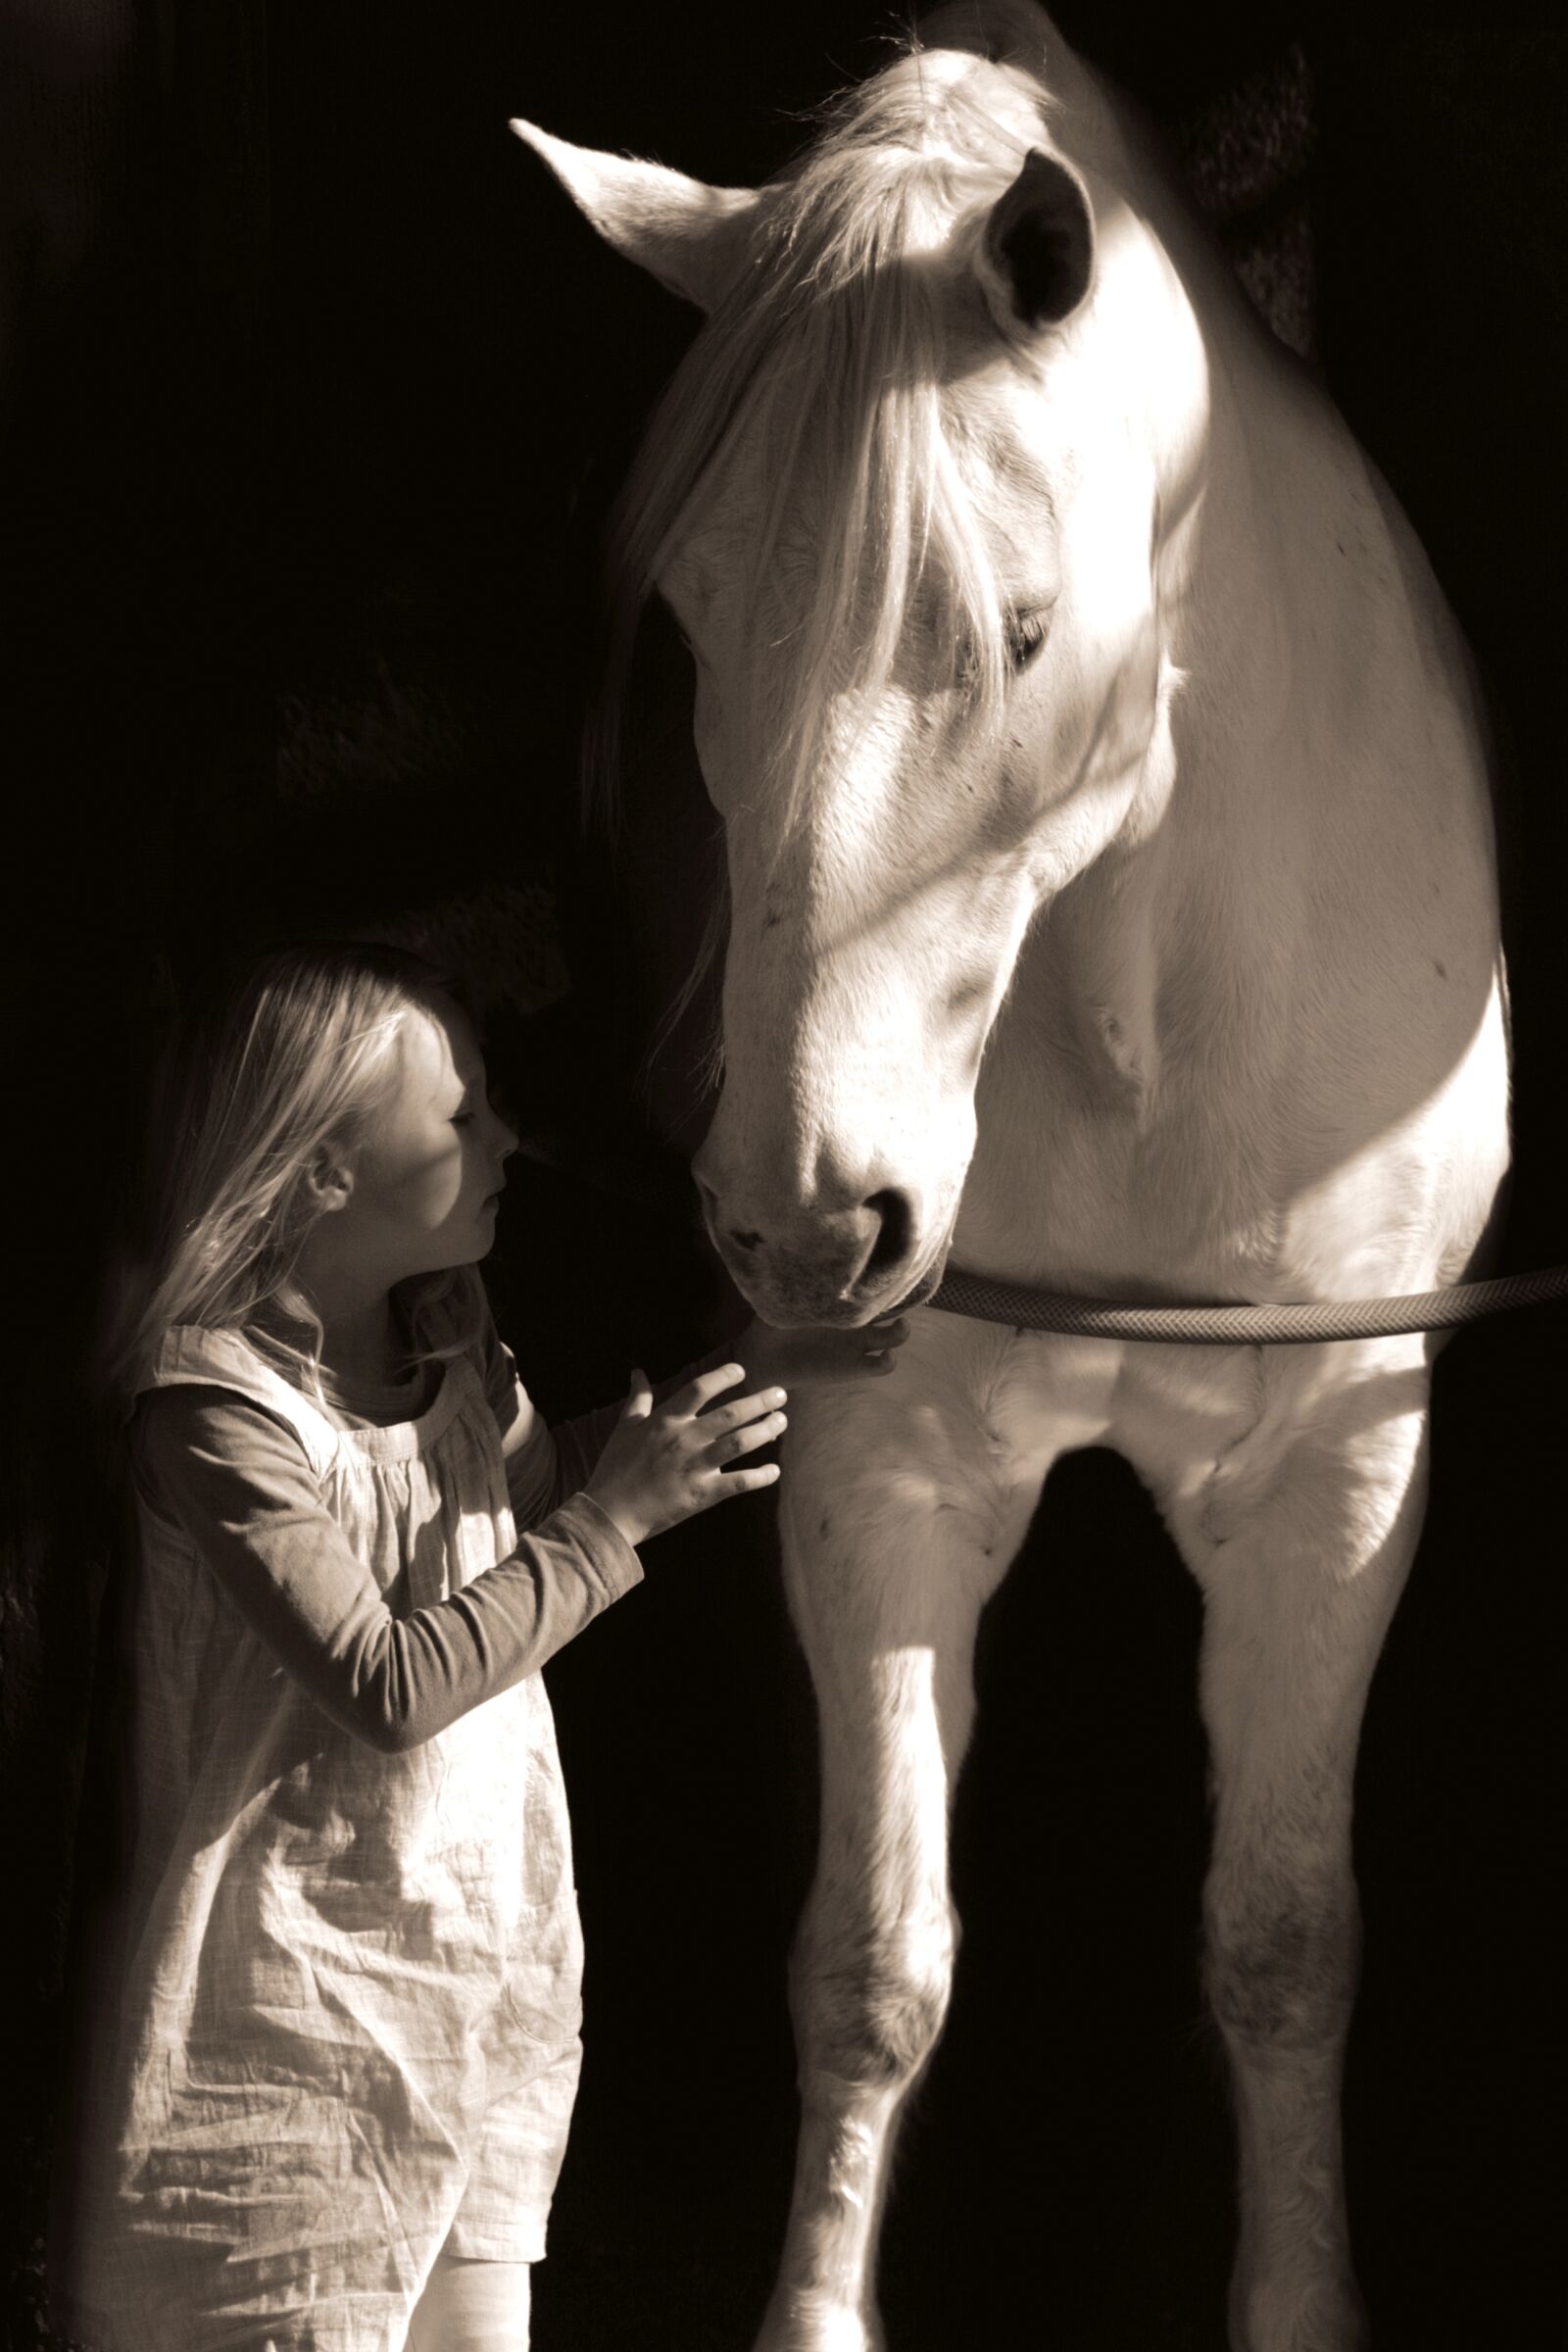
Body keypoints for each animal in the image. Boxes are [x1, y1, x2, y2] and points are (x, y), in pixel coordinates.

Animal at [511, 3, 1510, 2344]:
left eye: (1026, 631)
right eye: (697, 626)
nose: (807, 1221)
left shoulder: (1337, 1475)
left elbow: (1281, 1942)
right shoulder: (888, 1473)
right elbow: (875, 1967)